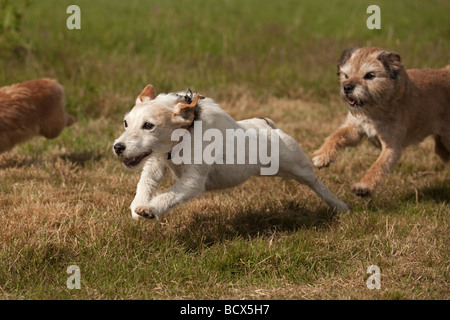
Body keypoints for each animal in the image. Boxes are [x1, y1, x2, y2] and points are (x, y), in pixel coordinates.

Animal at [111, 85, 348, 220]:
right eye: (125, 123)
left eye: (148, 125)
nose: (118, 147)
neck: (187, 131)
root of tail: (268, 124)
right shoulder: (157, 162)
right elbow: (146, 182)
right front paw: (137, 205)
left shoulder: (193, 181)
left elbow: (170, 194)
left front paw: (150, 209)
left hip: (298, 167)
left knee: (316, 183)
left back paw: (340, 206)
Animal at [312, 47, 450, 198]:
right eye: (346, 75)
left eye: (370, 75)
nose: (347, 88)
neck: (373, 111)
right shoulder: (354, 129)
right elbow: (336, 136)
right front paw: (322, 155)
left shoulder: (391, 148)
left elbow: (378, 166)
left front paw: (364, 186)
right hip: (442, 147)